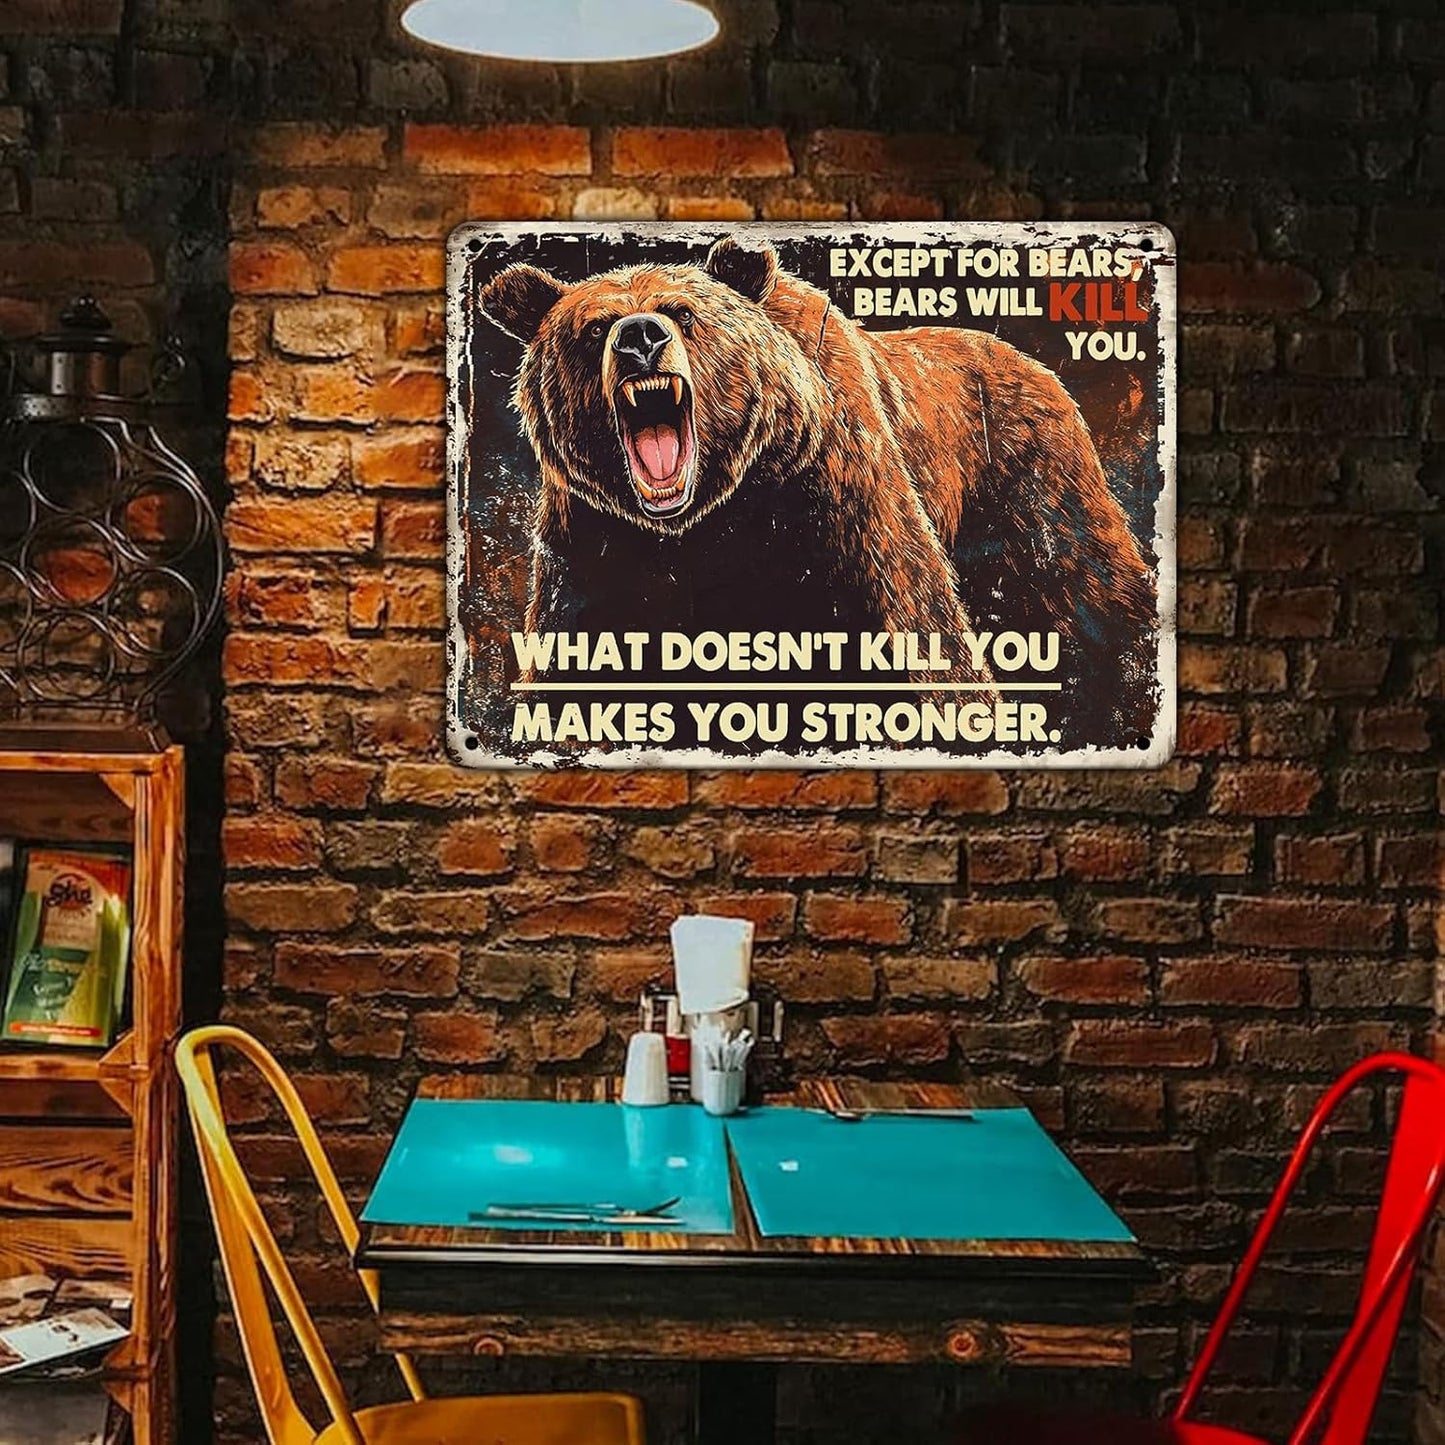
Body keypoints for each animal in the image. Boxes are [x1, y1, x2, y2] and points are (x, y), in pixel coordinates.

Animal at [476, 234, 1157, 751]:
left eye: (684, 313)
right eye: (593, 330)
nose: (640, 337)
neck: (707, 521)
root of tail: (1033, 362)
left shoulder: (840, 505)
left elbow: (925, 647)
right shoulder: (594, 542)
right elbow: (573, 675)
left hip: (1035, 485)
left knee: (1097, 598)